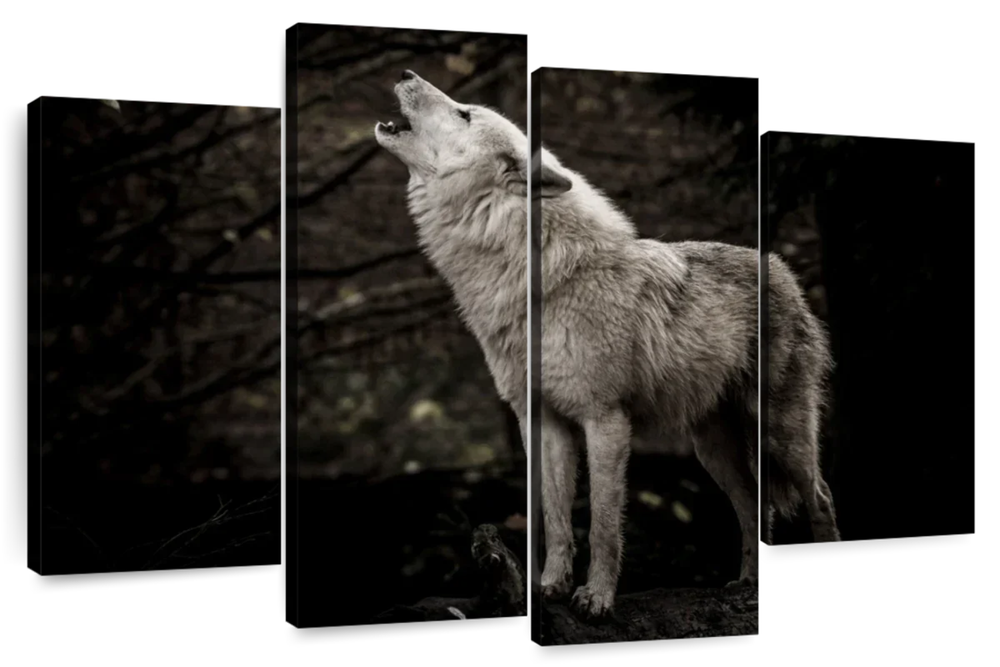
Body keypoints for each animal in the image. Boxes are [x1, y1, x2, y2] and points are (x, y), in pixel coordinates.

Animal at [534, 146, 840, 618]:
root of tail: (783, 270)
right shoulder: (552, 417)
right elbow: (555, 518)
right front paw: (550, 588)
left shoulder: (605, 419)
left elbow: (603, 523)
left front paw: (596, 598)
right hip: (712, 450)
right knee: (756, 507)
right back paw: (749, 584)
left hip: (779, 435)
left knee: (820, 498)